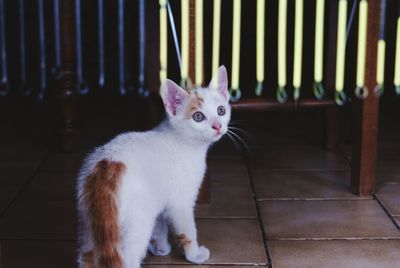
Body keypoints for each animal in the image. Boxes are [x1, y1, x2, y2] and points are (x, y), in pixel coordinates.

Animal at [76, 65, 231, 268]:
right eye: (198, 117)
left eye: (221, 110)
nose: (218, 126)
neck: (183, 141)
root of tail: (108, 164)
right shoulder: (180, 202)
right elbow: (187, 231)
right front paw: (194, 255)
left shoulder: (159, 198)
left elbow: (159, 226)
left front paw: (160, 248)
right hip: (137, 221)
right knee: (128, 257)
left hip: (91, 224)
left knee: (87, 255)